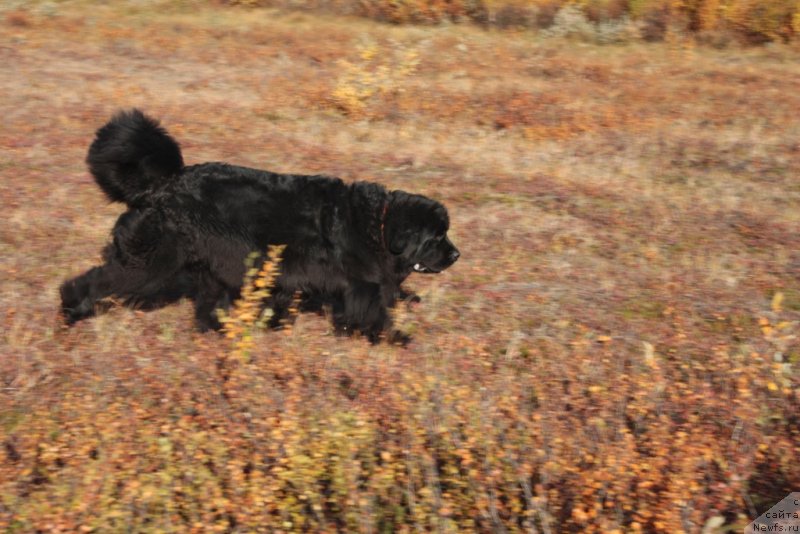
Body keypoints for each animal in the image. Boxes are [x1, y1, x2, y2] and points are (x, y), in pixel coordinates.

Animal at [59, 110, 460, 344]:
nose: (456, 254)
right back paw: (71, 309)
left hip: (213, 266)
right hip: (152, 263)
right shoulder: (360, 284)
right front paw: (395, 336)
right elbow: (372, 311)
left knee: (208, 307)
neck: (379, 226)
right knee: (98, 280)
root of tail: (161, 186)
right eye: (436, 237)